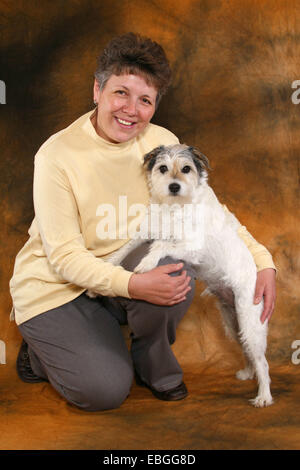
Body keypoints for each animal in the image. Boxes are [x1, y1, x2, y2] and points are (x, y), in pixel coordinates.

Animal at [88, 144, 274, 408]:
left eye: (186, 169)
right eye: (163, 168)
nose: (174, 186)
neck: (175, 206)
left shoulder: (192, 247)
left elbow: (163, 246)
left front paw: (146, 263)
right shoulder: (147, 231)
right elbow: (122, 250)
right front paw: (100, 279)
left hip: (251, 322)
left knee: (263, 361)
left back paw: (264, 396)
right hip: (233, 323)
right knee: (248, 352)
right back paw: (249, 373)